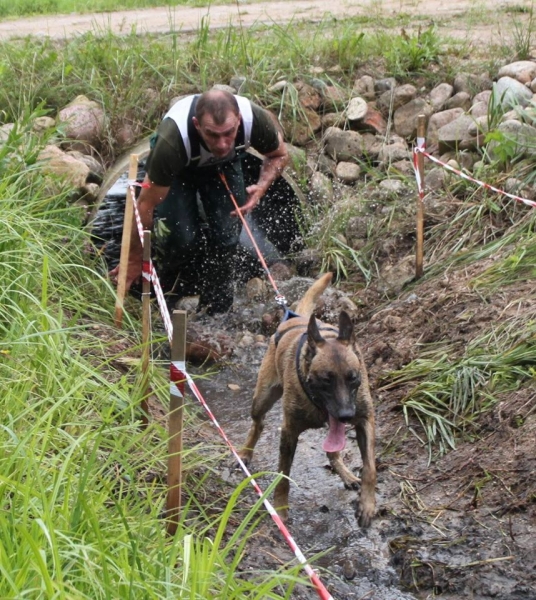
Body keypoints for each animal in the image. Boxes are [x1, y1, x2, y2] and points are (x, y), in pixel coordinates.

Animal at [240, 274, 376, 528]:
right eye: (326, 380)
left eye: (353, 377)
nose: (346, 415)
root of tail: (293, 318)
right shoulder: (289, 431)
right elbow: (283, 476)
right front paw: (280, 510)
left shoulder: (365, 420)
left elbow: (370, 468)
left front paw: (367, 504)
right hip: (262, 398)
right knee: (257, 423)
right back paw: (245, 453)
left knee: (333, 453)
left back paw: (346, 474)